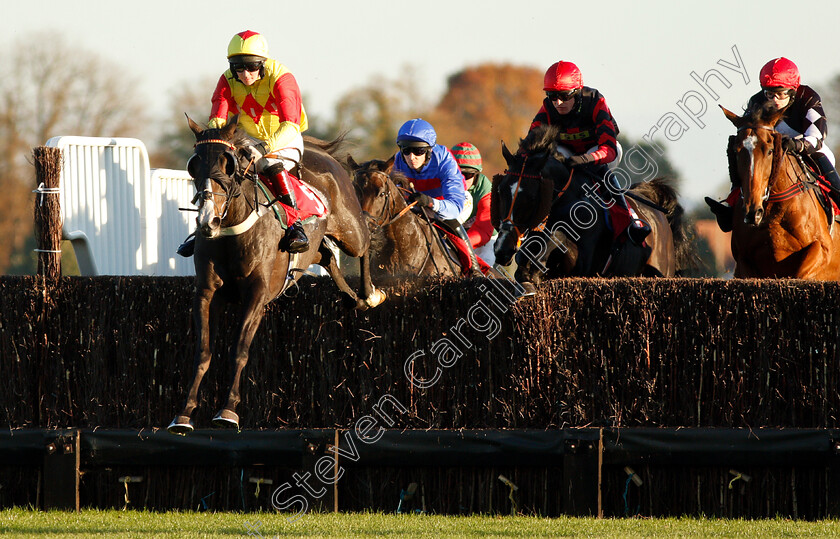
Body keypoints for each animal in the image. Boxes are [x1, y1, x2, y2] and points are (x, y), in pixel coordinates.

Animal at [169, 115, 386, 434]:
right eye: (193, 164)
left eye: (227, 163)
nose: (208, 221)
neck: (232, 230)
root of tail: (322, 154)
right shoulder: (206, 294)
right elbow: (203, 352)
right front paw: (184, 414)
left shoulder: (257, 294)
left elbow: (240, 349)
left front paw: (228, 410)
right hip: (317, 248)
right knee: (327, 256)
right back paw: (352, 298)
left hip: (350, 230)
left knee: (365, 242)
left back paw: (369, 294)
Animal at [492, 125, 688, 296]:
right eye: (500, 190)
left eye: (531, 197)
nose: (502, 249)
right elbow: (525, 257)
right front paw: (526, 274)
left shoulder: (583, 264)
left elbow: (558, 236)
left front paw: (533, 269)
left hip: (660, 272)